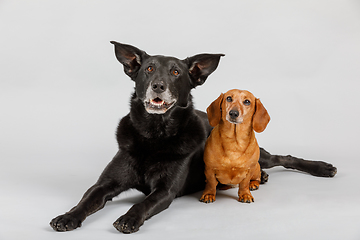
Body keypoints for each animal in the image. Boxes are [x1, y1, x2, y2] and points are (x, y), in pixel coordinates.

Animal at [49, 42, 336, 233]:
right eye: (148, 69)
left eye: (176, 72)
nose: (158, 86)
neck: (154, 135)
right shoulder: (105, 184)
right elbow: (87, 199)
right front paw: (67, 217)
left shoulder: (165, 191)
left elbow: (143, 203)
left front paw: (128, 218)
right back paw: (261, 177)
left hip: (262, 154)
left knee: (281, 157)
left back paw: (321, 168)